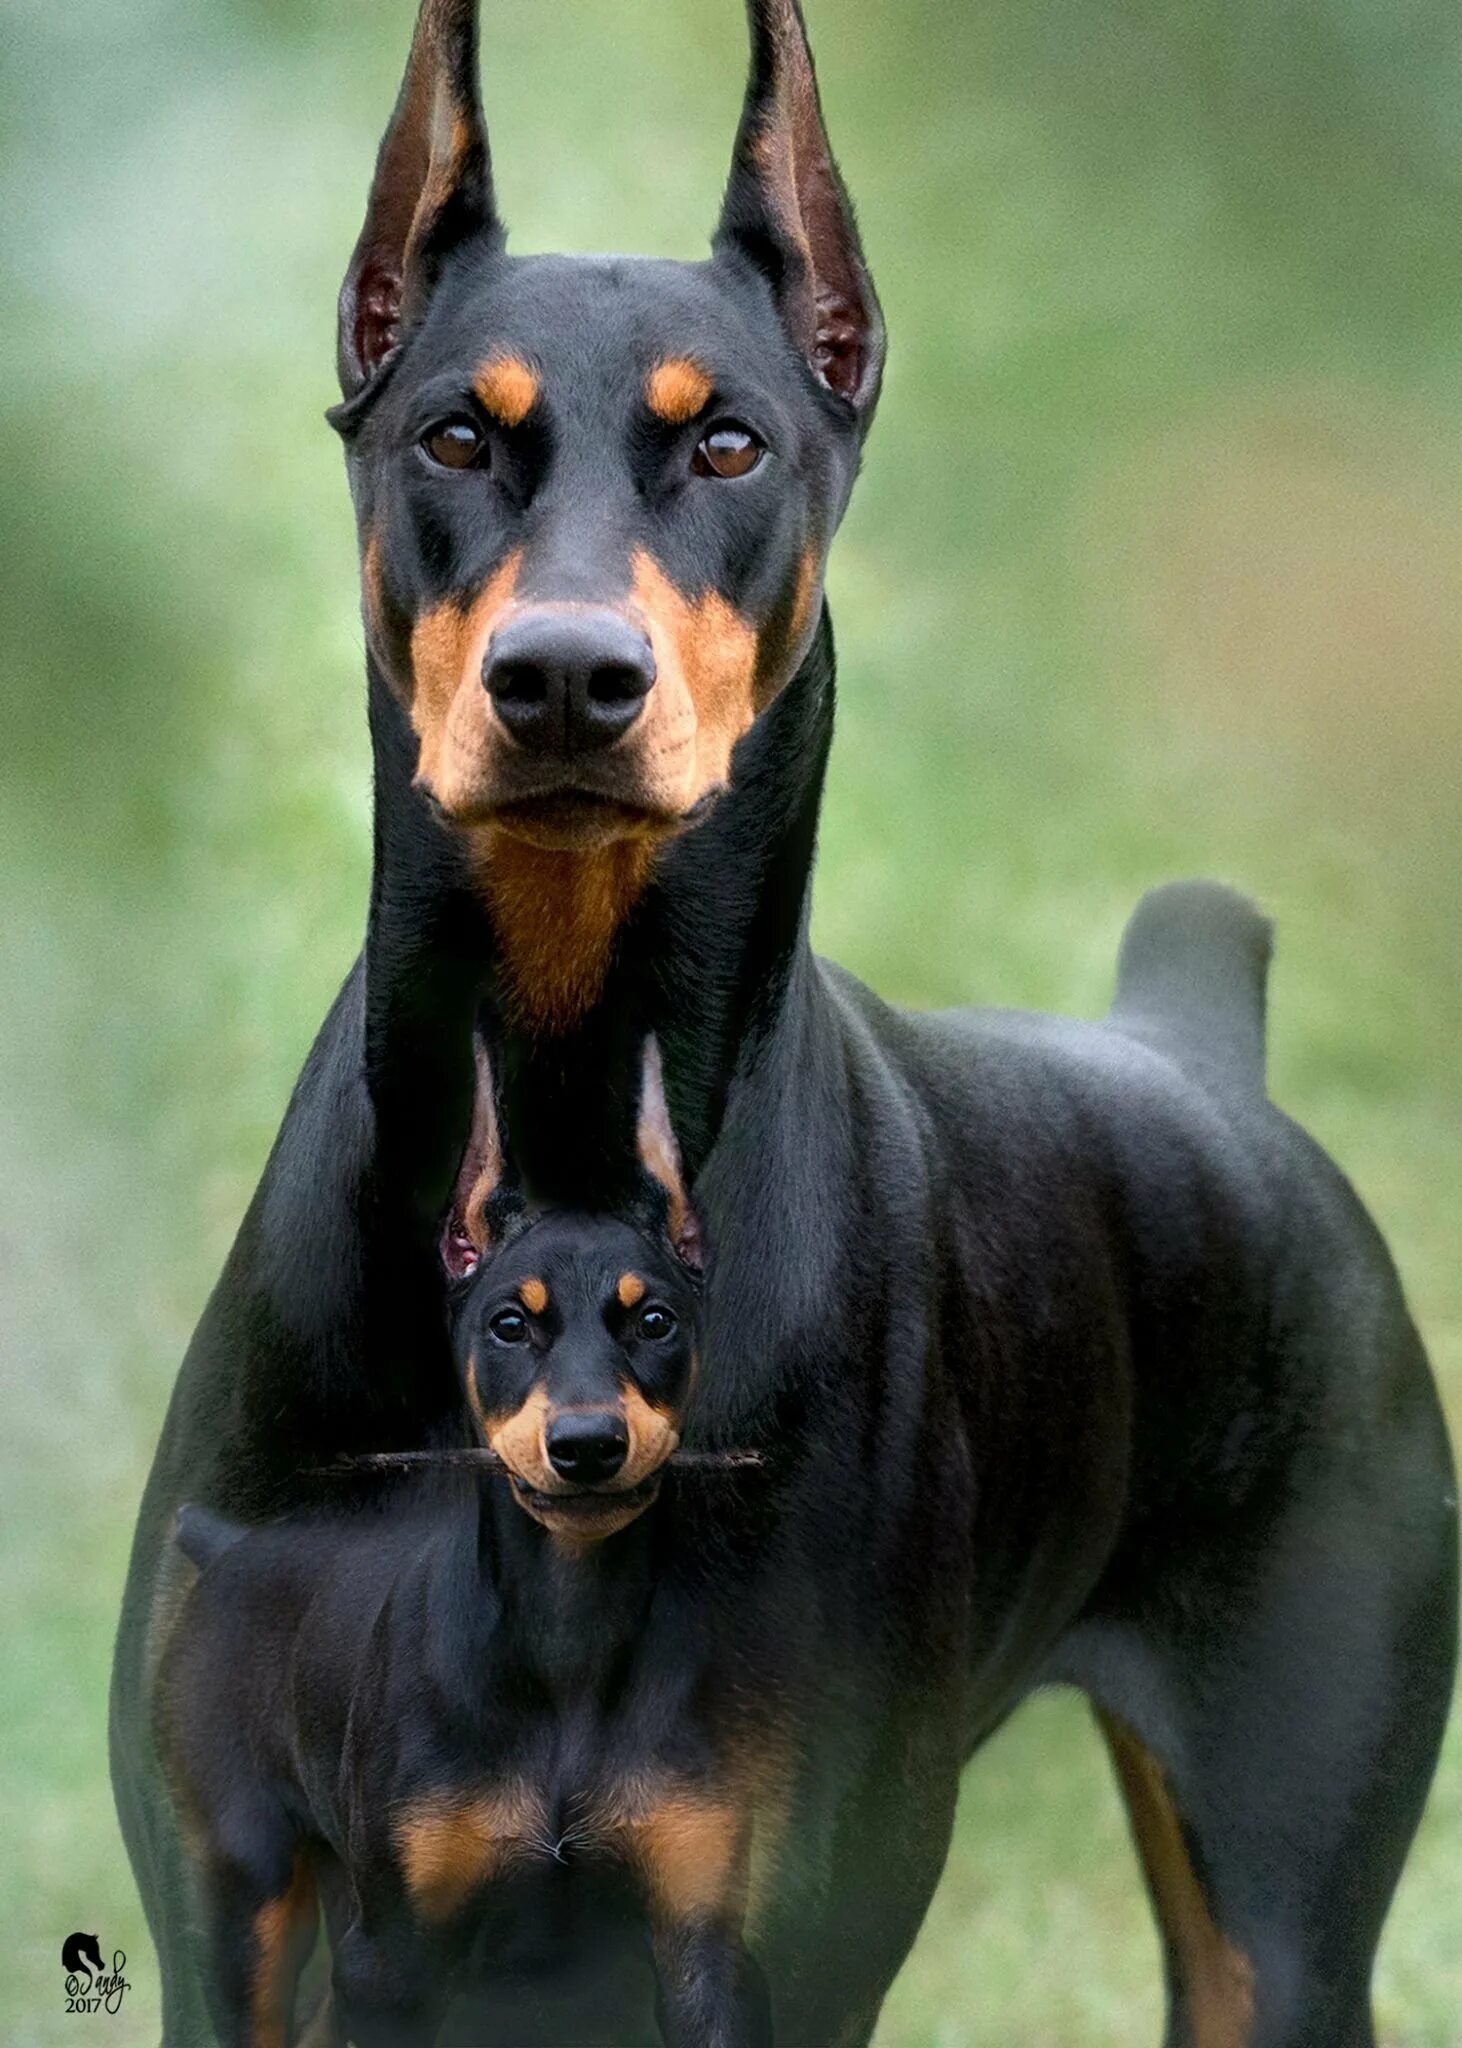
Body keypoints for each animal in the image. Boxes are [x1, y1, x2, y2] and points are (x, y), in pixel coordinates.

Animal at [116, 4, 1457, 2048]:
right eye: (453, 432)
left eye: (728, 441)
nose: (565, 679)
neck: (566, 1072)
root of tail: (1198, 1050)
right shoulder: (242, 1905)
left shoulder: (775, 1939)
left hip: (1286, 1906)